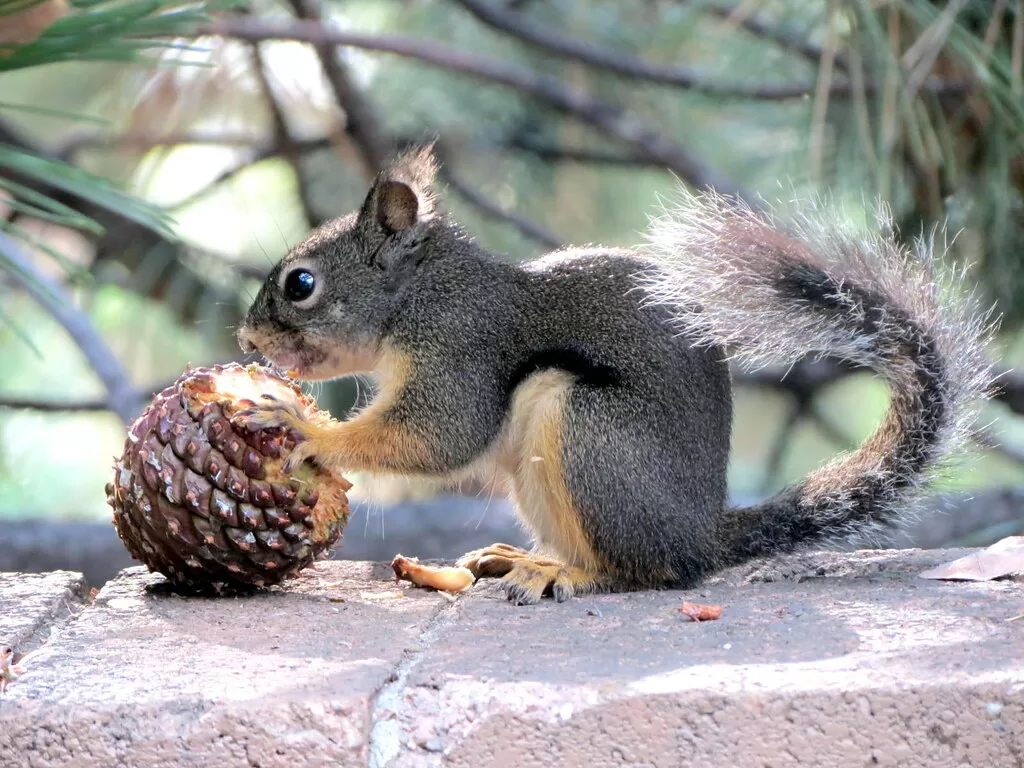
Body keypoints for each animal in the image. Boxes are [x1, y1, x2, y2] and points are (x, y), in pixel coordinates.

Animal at [237, 144, 991, 606]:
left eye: (301, 284)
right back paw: (510, 558)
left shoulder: (462, 347)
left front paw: (302, 427)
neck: (421, 292)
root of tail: (700, 535)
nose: (246, 337)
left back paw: (561, 573)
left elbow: (438, 435)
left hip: (587, 430)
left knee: (643, 571)